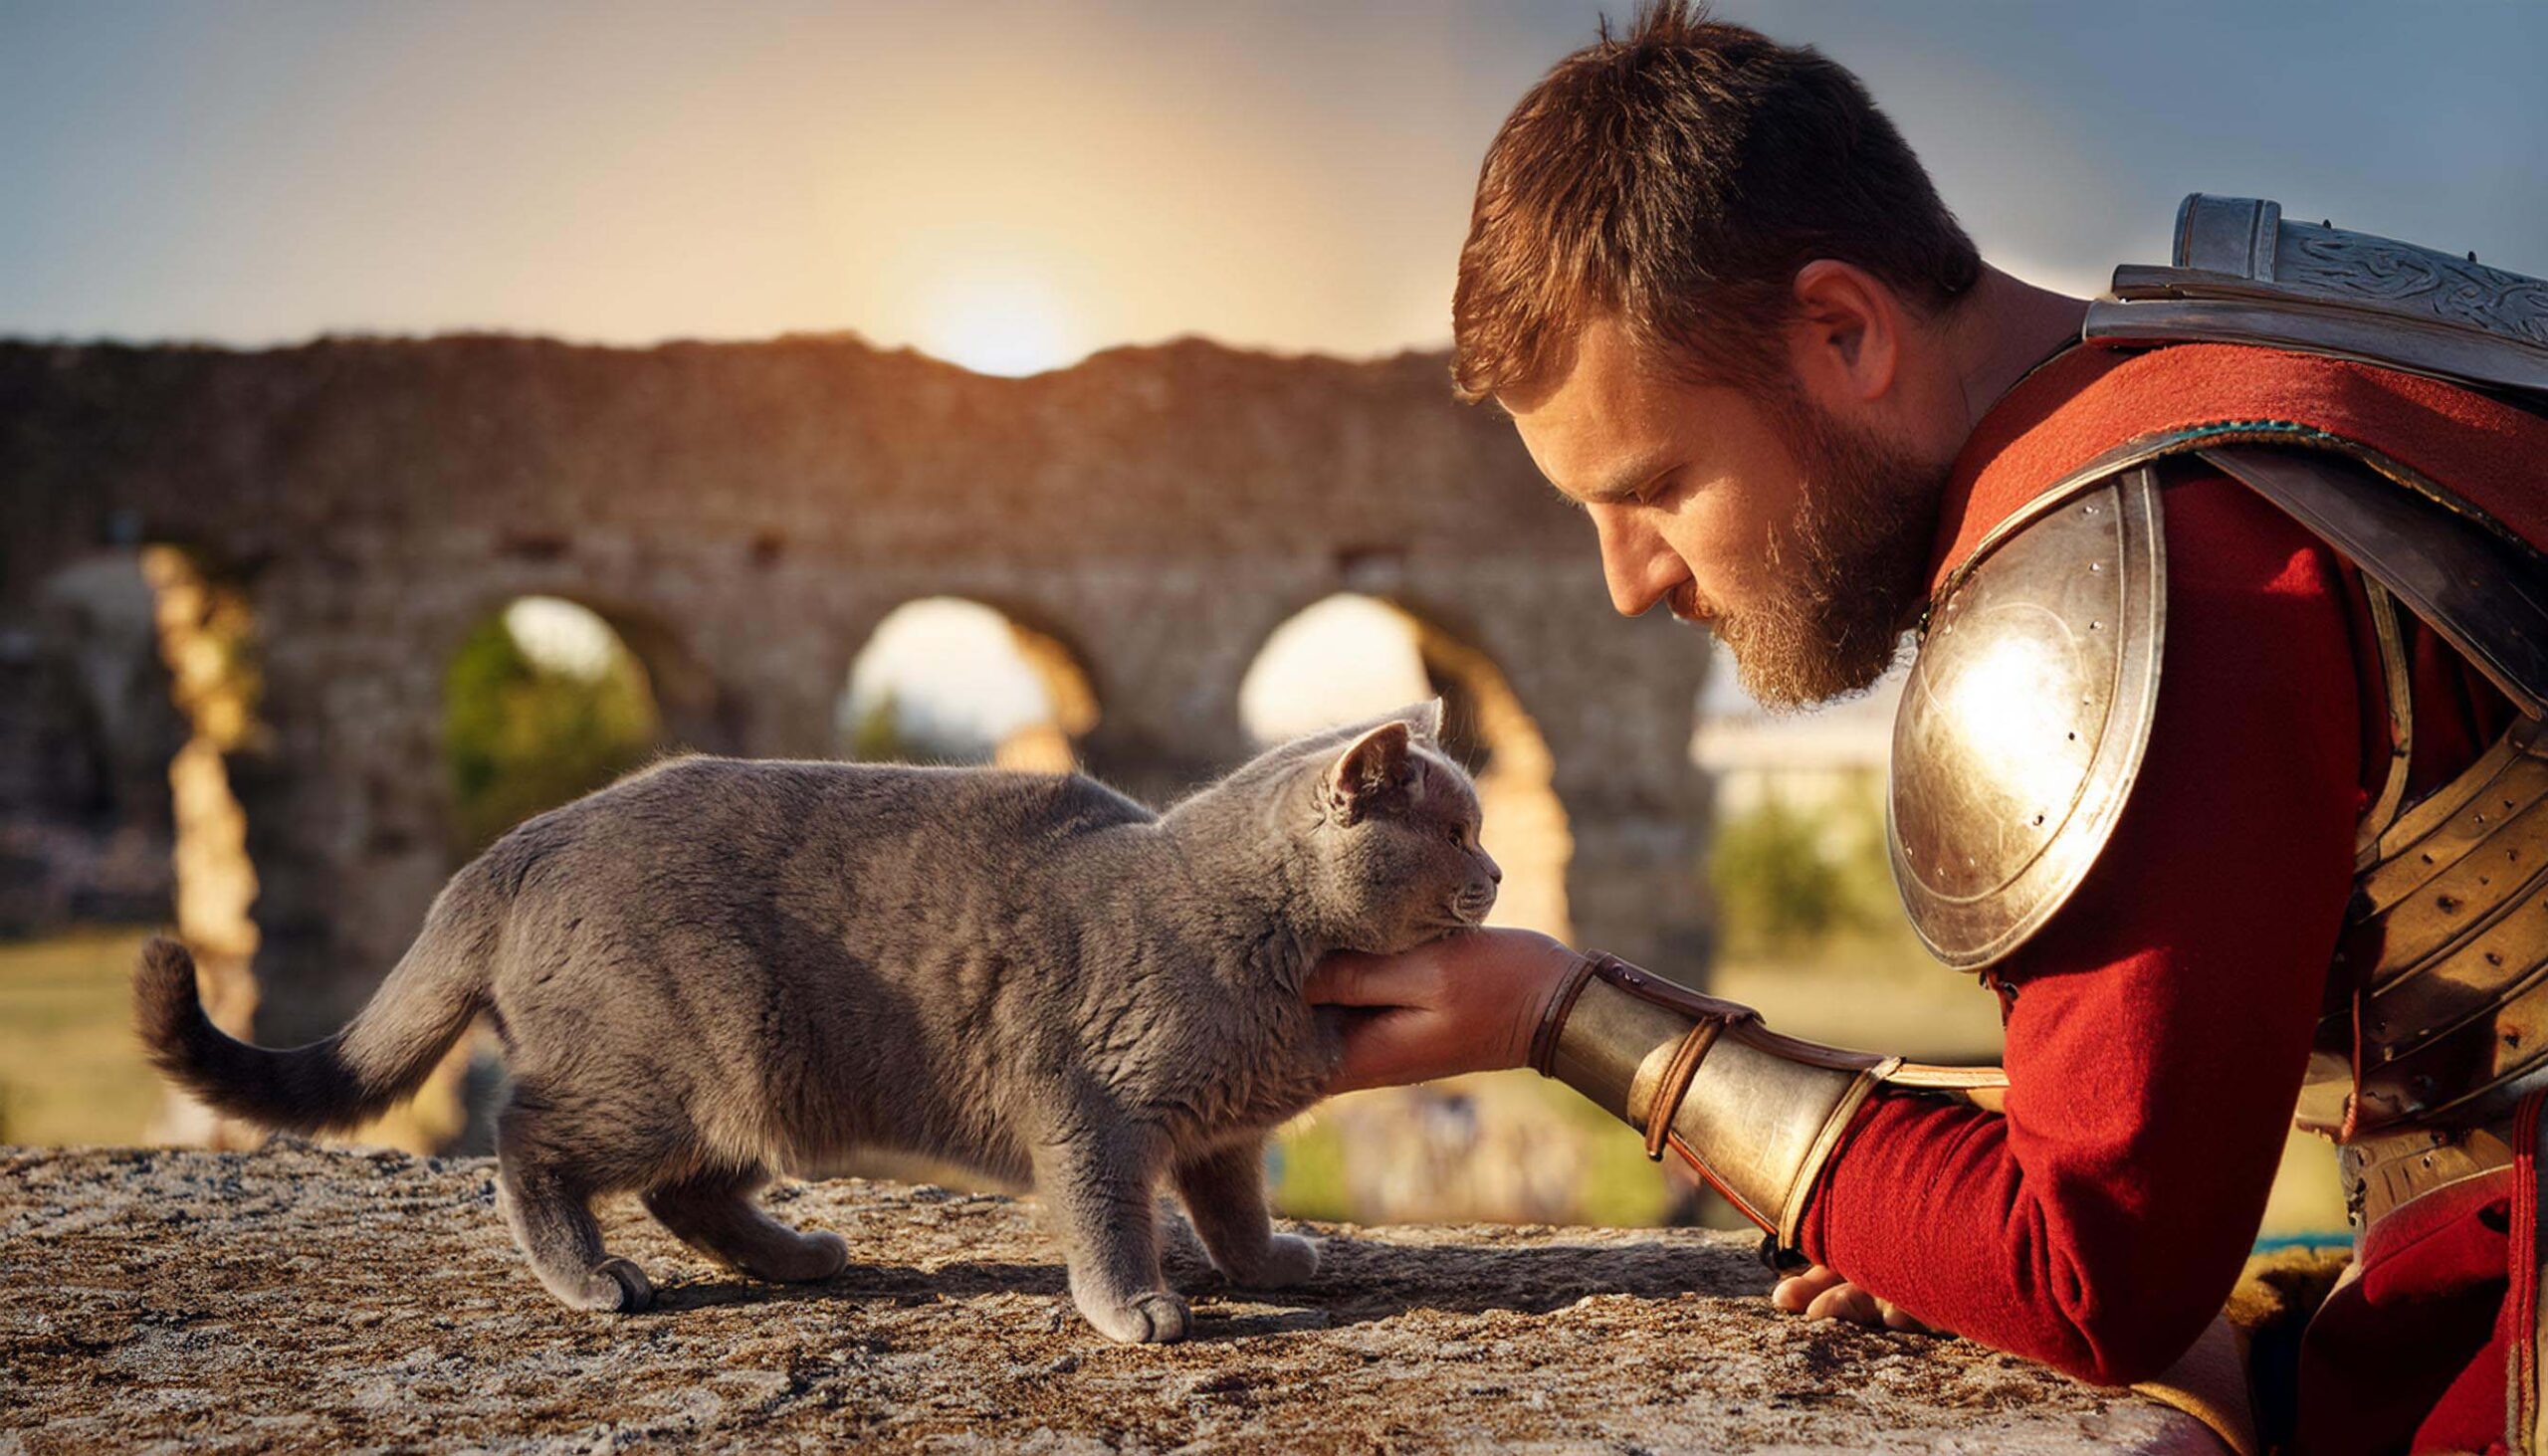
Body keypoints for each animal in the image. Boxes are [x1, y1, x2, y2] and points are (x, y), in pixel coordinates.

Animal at [139, 704, 1488, 1346]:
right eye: (1456, 830)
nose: (1501, 874)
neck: (1259, 943)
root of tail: (527, 839)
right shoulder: (1089, 1106)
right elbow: (1110, 1217)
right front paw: (1136, 1306)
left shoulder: (1219, 1129)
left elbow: (1233, 1204)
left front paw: (1267, 1265)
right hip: (676, 1068)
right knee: (527, 1140)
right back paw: (591, 1277)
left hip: (755, 1087)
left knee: (685, 1190)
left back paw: (799, 1255)